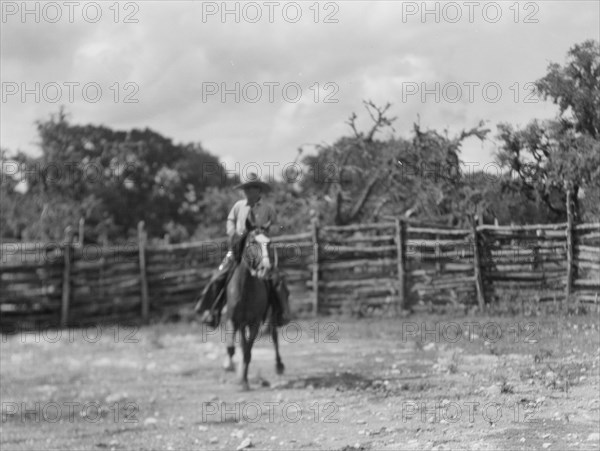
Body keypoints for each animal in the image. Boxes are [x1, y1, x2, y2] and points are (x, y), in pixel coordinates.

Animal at [221, 228, 284, 390]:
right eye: (252, 242)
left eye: (269, 243)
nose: (266, 269)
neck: (245, 289)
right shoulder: (231, 319)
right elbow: (232, 348)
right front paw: (229, 366)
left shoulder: (254, 323)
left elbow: (248, 353)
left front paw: (244, 382)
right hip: (241, 324)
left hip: (269, 317)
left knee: (274, 337)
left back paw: (279, 366)